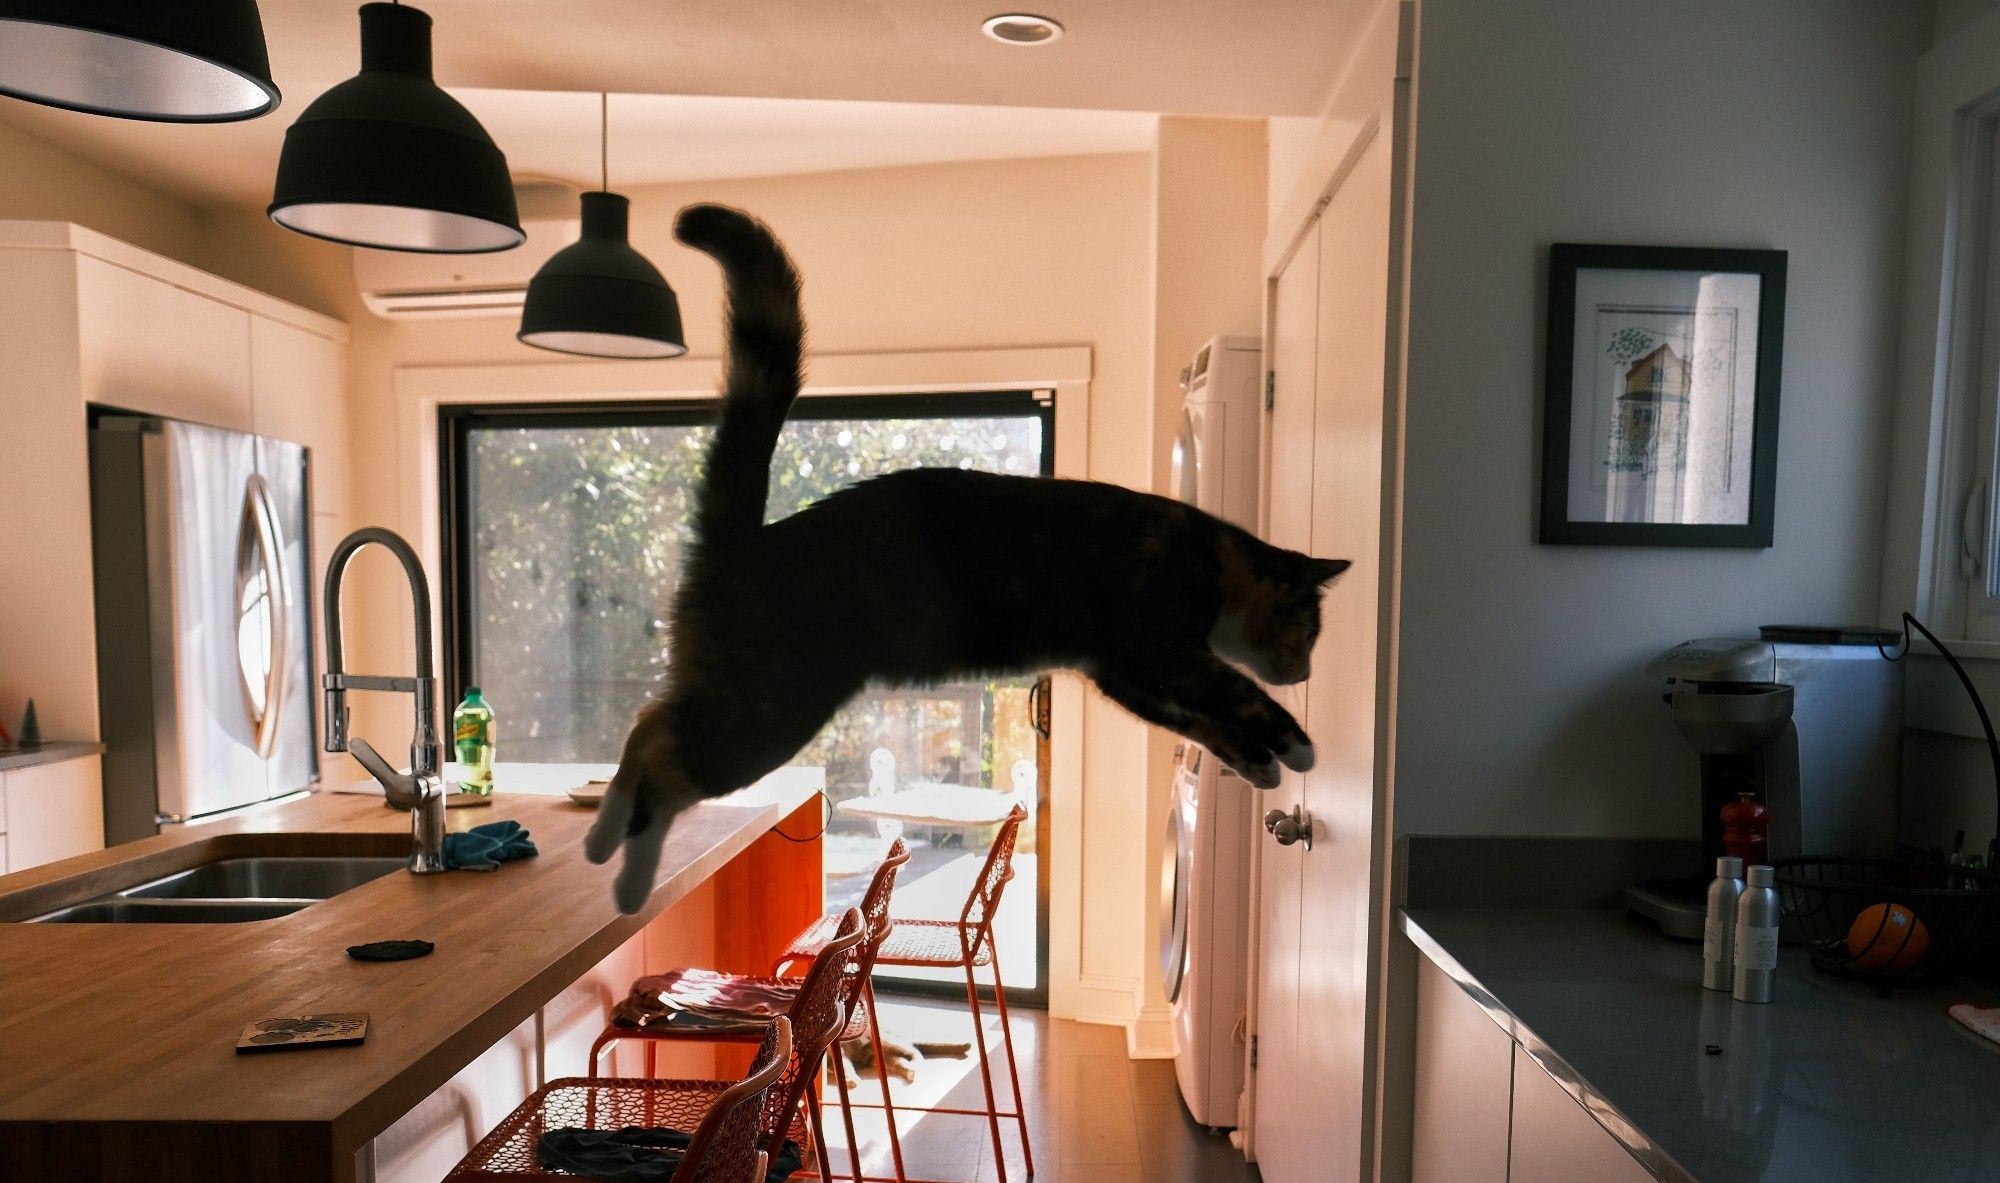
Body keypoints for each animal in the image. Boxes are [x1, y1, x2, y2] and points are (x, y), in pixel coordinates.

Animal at [584, 203, 1352, 915]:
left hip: (738, 692)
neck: (1213, 557)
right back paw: (623, 877)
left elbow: (1205, 722)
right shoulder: (1159, 650)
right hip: (770, 709)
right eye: (1308, 630)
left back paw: (599, 838)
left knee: (649, 722)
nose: (1308, 671)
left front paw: (1261, 765)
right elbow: (1238, 695)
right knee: (662, 755)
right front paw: (1299, 747)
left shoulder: (1134, 674)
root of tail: (750, 539)